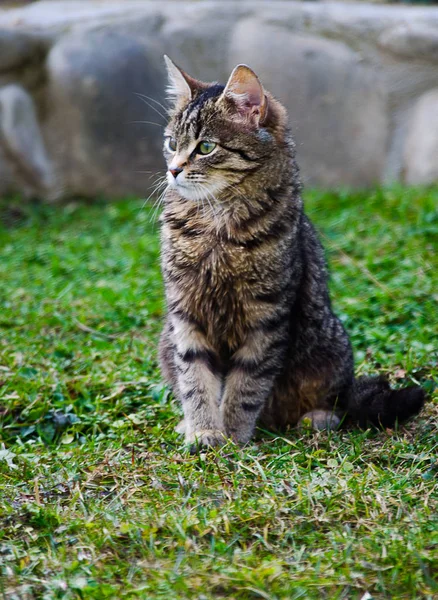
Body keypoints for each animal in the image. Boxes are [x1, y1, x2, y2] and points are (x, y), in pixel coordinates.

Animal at [157, 56, 424, 448]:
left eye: (205, 147)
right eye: (172, 142)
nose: (173, 170)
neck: (217, 224)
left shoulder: (266, 317)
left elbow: (246, 386)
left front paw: (233, 436)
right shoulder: (185, 312)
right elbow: (195, 380)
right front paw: (204, 430)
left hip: (329, 348)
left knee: (337, 401)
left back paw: (315, 418)